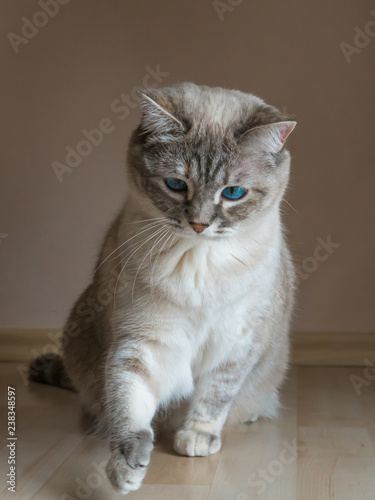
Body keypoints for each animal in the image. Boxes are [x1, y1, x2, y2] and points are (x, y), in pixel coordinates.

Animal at [29, 84, 298, 494]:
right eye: (176, 185)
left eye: (234, 193)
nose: (200, 224)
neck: (200, 263)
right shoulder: (145, 340)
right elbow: (130, 404)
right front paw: (126, 468)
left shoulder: (236, 344)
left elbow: (214, 397)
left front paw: (196, 439)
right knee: (100, 402)